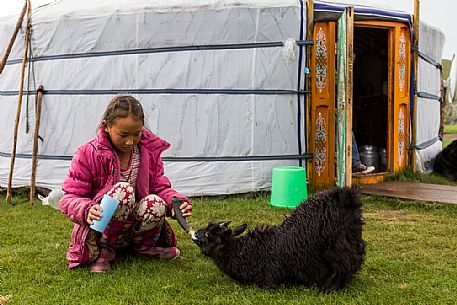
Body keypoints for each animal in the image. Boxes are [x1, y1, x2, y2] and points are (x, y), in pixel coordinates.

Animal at [194, 188, 366, 290]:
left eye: (209, 234)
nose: (195, 234)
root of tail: (344, 196)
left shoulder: (269, 281)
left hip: (335, 244)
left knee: (349, 261)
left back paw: (333, 288)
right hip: (351, 236)